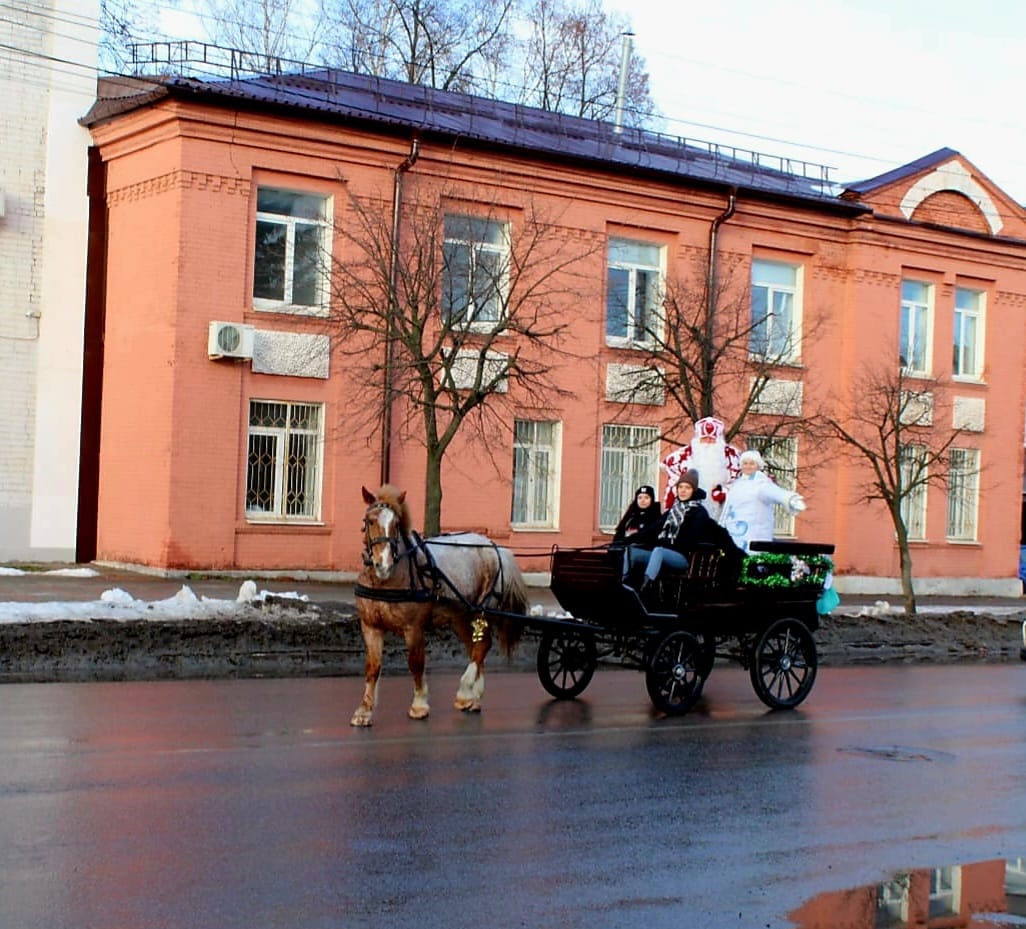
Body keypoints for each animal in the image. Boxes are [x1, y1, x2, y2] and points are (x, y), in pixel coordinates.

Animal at [352, 482, 529, 726]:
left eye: (396, 524)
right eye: (370, 521)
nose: (383, 564)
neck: (388, 580)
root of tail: (495, 547)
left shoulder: (413, 628)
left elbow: (416, 663)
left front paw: (419, 705)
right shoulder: (370, 626)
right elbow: (372, 667)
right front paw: (364, 710)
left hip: (482, 611)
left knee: (481, 647)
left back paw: (465, 692)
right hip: (462, 616)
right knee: (477, 647)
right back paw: (473, 698)